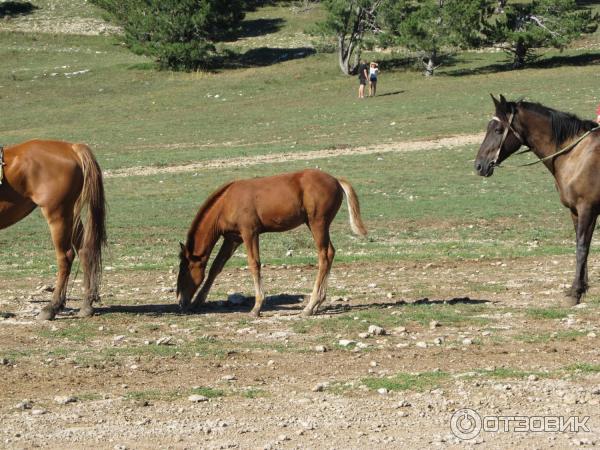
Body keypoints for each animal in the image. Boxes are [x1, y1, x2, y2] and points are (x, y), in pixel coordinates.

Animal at [0, 141, 106, 320]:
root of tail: (72, 147)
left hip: (57, 215)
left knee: (65, 257)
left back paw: (51, 307)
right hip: (71, 215)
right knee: (84, 251)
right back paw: (86, 304)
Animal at [176, 168, 368, 316]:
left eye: (184, 270)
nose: (180, 300)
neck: (226, 202)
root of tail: (335, 180)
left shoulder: (250, 233)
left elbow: (254, 264)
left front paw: (256, 307)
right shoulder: (233, 238)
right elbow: (216, 267)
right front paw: (197, 302)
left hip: (317, 223)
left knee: (325, 255)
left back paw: (310, 306)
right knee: (330, 253)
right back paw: (316, 305)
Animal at [476, 95, 596, 306]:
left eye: (498, 129)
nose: (479, 165)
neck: (576, 153)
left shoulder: (586, 209)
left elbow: (582, 248)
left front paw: (575, 292)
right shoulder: (576, 211)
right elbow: (584, 246)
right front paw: (581, 288)